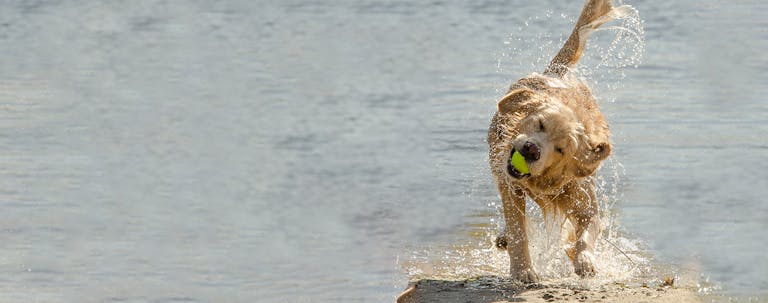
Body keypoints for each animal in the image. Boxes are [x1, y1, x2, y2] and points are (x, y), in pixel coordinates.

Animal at [488, 0, 620, 282]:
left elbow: (586, 234)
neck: (544, 180)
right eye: (540, 124)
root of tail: (556, 74)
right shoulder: (511, 187)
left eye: (560, 150)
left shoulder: (585, 202)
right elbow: (518, 230)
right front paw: (523, 270)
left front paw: (585, 261)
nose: (531, 150)